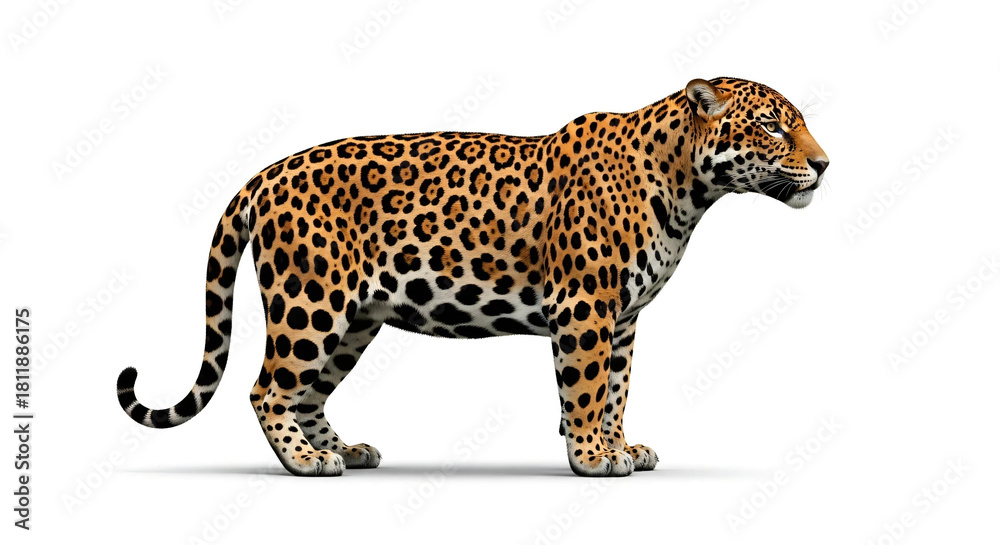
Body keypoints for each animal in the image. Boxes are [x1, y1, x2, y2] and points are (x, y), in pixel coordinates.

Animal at [116, 77, 829, 477]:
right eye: (773, 126)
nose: (825, 164)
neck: (687, 187)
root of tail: (262, 175)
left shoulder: (623, 318)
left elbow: (618, 389)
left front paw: (622, 445)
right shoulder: (586, 307)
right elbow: (586, 389)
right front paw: (592, 457)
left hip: (356, 320)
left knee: (308, 394)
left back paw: (345, 451)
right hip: (310, 303)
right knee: (267, 389)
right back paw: (305, 462)